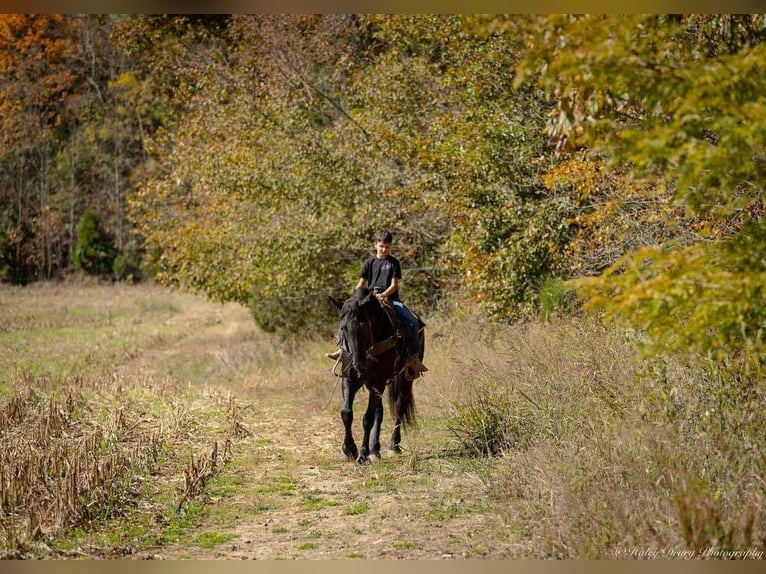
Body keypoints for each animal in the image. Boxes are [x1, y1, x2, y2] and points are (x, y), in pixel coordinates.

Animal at [332, 288, 424, 468]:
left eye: (364, 325)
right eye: (343, 327)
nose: (358, 365)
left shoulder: (378, 382)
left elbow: (367, 418)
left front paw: (363, 455)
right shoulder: (350, 379)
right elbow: (346, 412)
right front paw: (349, 449)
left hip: (405, 378)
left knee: (399, 406)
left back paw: (393, 446)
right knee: (379, 412)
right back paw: (375, 449)